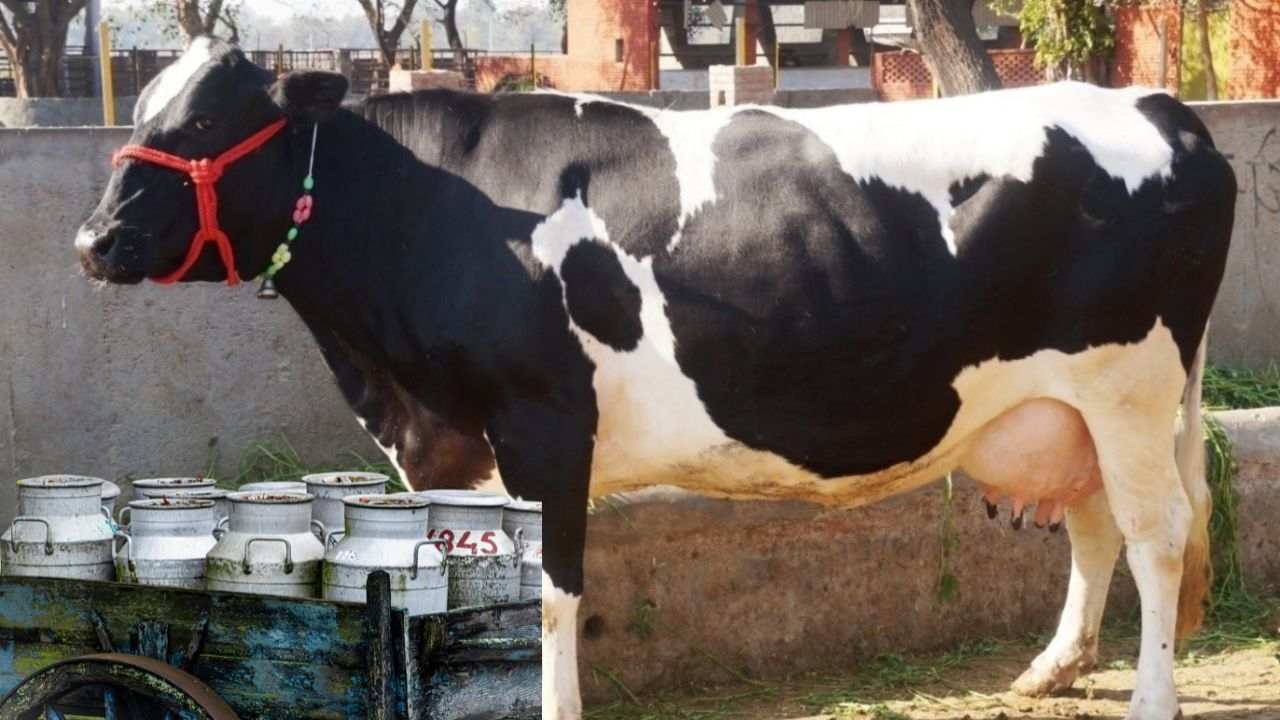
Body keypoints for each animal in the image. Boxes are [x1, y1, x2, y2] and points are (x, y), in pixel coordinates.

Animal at [75, 38, 1235, 720]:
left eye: (205, 122)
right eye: (142, 114)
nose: (92, 241)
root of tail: (1158, 105)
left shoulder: (546, 428)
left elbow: (547, 599)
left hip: (1129, 385)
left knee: (1155, 536)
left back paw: (1149, 700)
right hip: (1068, 405)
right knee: (1096, 523)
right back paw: (1050, 671)